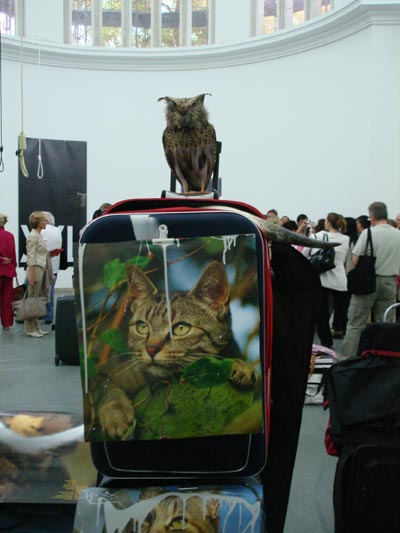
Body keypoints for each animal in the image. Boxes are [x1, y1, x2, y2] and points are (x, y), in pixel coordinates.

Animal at [93, 260, 256, 440]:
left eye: (181, 328)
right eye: (142, 327)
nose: (151, 349)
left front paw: (239, 365)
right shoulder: (104, 375)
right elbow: (108, 390)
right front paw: (116, 416)